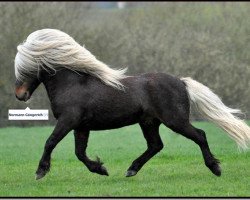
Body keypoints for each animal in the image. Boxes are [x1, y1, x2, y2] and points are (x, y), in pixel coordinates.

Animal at [14, 29, 250, 180]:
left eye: (25, 68)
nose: (20, 95)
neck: (73, 84)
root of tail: (181, 82)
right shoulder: (80, 127)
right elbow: (79, 153)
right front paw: (101, 169)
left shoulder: (68, 121)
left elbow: (50, 142)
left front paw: (40, 172)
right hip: (149, 122)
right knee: (156, 145)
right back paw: (131, 170)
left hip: (175, 120)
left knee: (199, 135)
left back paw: (215, 168)